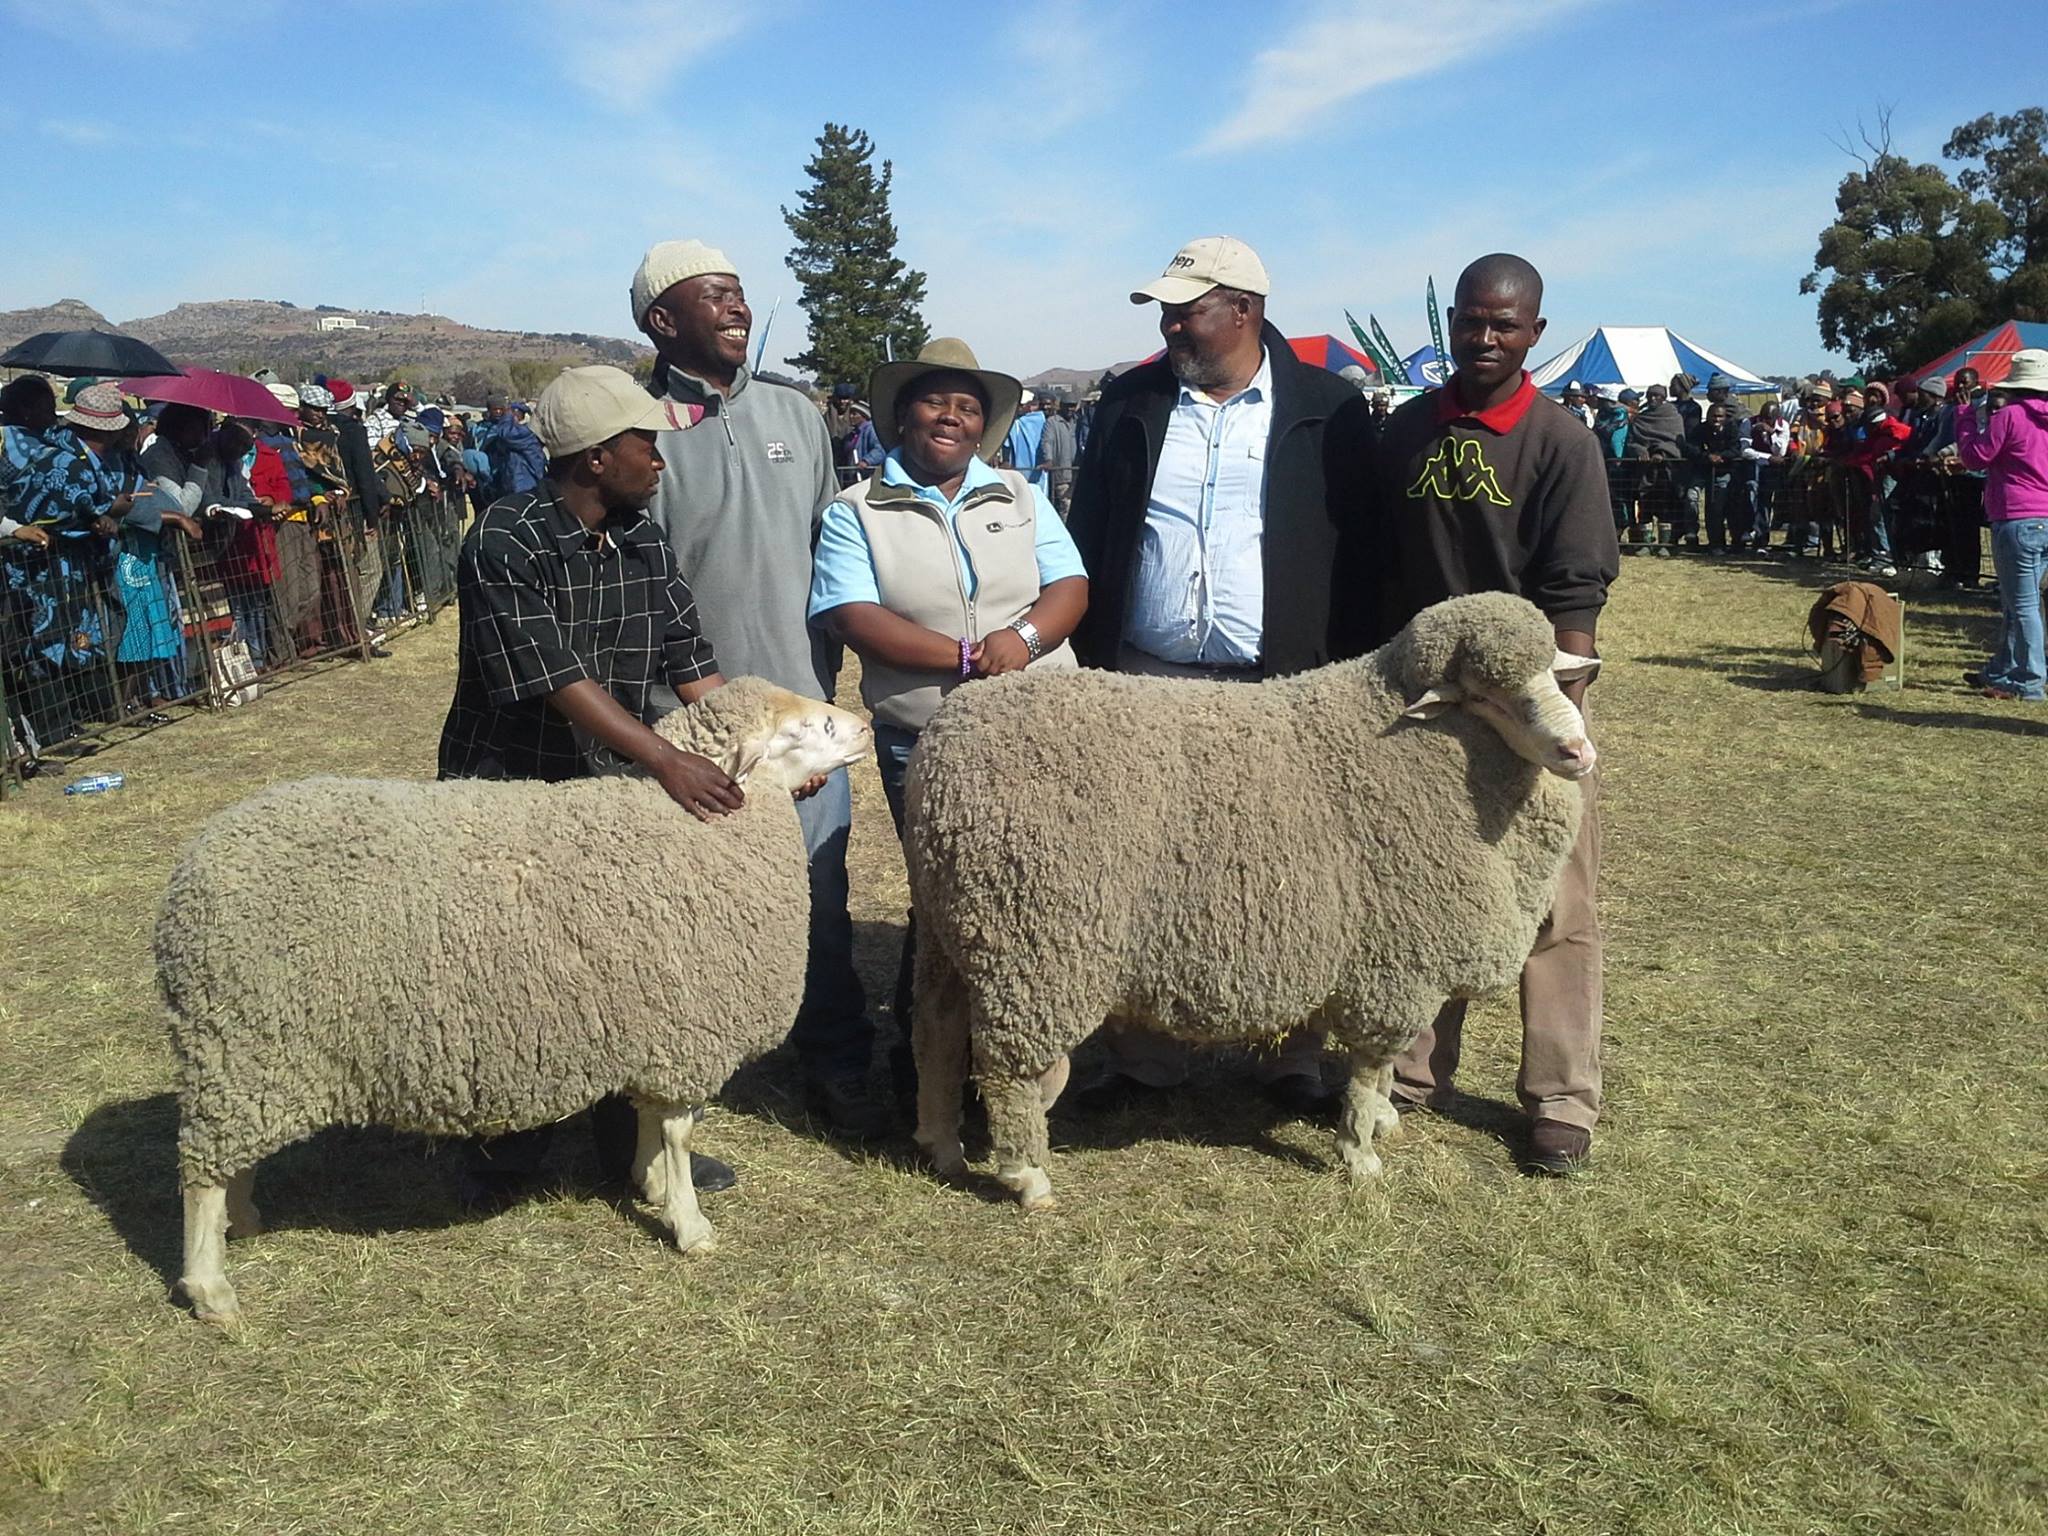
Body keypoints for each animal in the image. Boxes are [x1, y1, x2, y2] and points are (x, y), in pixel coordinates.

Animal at [159, 677, 871, 1322]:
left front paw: (650, 1184)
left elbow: (649, 1121)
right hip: (242, 1041)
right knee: (199, 1174)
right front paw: (689, 1223)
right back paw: (211, 1289)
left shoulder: (656, 1026)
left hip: (250, 1058)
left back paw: (244, 1220)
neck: (692, 826)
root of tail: (193, 869)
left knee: (229, 1161)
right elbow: (678, 1131)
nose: (863, 727)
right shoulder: (687, 1028)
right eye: (806, 729)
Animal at [904, 591, 1598, 1210]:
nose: (1577, 752)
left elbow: (1379, 1070)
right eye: (1484, 695)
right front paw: (1360, 1153)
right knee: (1006, 1068)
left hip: (954, 927)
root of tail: (944, 741)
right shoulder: (1396, 965)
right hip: (1035, 942)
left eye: (1551, 674)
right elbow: (1371, 1064)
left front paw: (1379, 1121)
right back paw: (1028, 1178)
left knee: (936, 1030)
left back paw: (941, 1146)